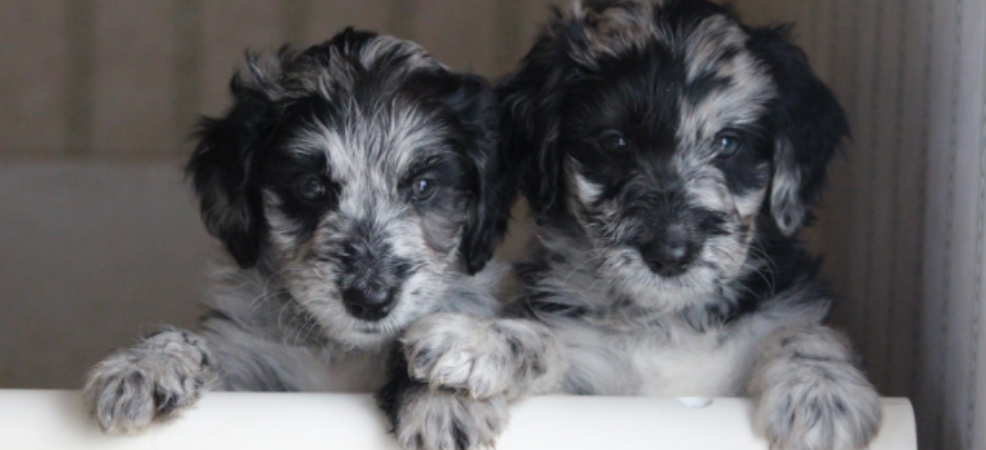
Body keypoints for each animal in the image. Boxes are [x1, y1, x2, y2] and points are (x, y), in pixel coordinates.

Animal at [82, 27, 516, 432]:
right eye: (311, 187)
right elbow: (198, 345)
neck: (340, 349)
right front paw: (143, 366)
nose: (370, 300)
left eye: (423, 187)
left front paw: (447, 391)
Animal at [380, 0, 880, 450]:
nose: (670, 254)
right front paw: (477, 340)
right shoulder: (588, 371)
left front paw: (822, 392)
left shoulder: (782, 308)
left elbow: (801, 331)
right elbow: (550, 342)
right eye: (615, 142)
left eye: (727, 143)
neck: (666, 321)